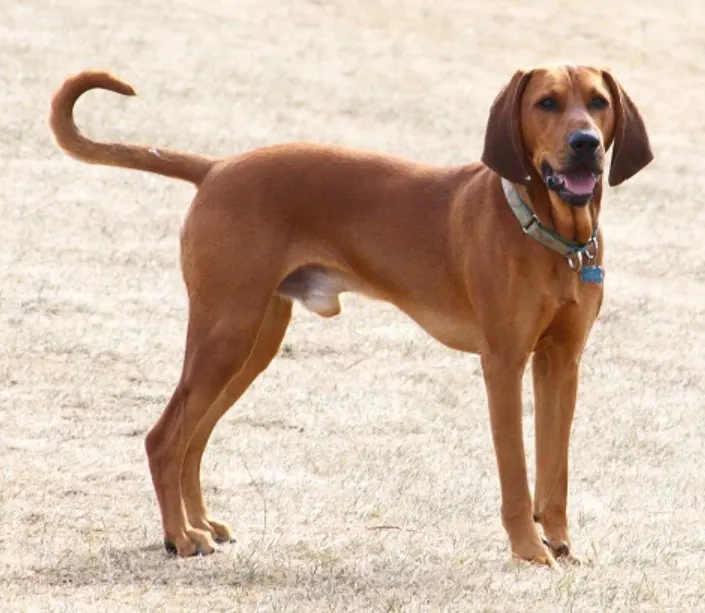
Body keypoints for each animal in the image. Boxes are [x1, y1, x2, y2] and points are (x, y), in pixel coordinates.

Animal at [49, 64, 652, 568]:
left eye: (598, 103)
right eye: (546, 103)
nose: (585, 144)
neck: (549, 235)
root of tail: (218, 168)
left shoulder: (562, 365)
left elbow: (555, 472)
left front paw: (561, 544)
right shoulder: (503, 365)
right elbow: (517, 477)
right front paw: (529, 550)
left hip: (252, 342)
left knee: (194, 437)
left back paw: (198, 523)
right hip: (225, 334)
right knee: (164, 439)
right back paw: (179, 536)